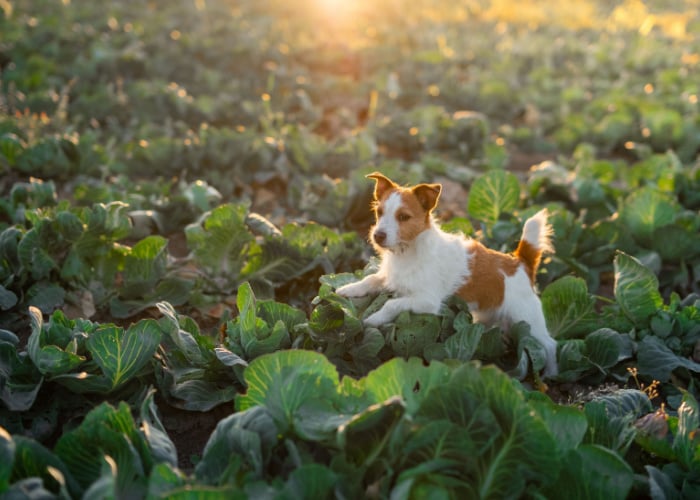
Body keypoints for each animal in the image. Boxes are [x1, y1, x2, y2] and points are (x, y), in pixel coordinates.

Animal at [336, 172, 560, 376]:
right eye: (379, 212)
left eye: (403, 217)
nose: (378, 235)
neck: (409, 251)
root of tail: (519, 261)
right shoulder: (390, 277)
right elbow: (370, 279)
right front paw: (348, 289)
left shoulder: (427, 301)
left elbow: (392, 304)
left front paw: (375, 318)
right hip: (487, 315)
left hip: (527, 319)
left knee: (550, 344)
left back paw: (551, 374)